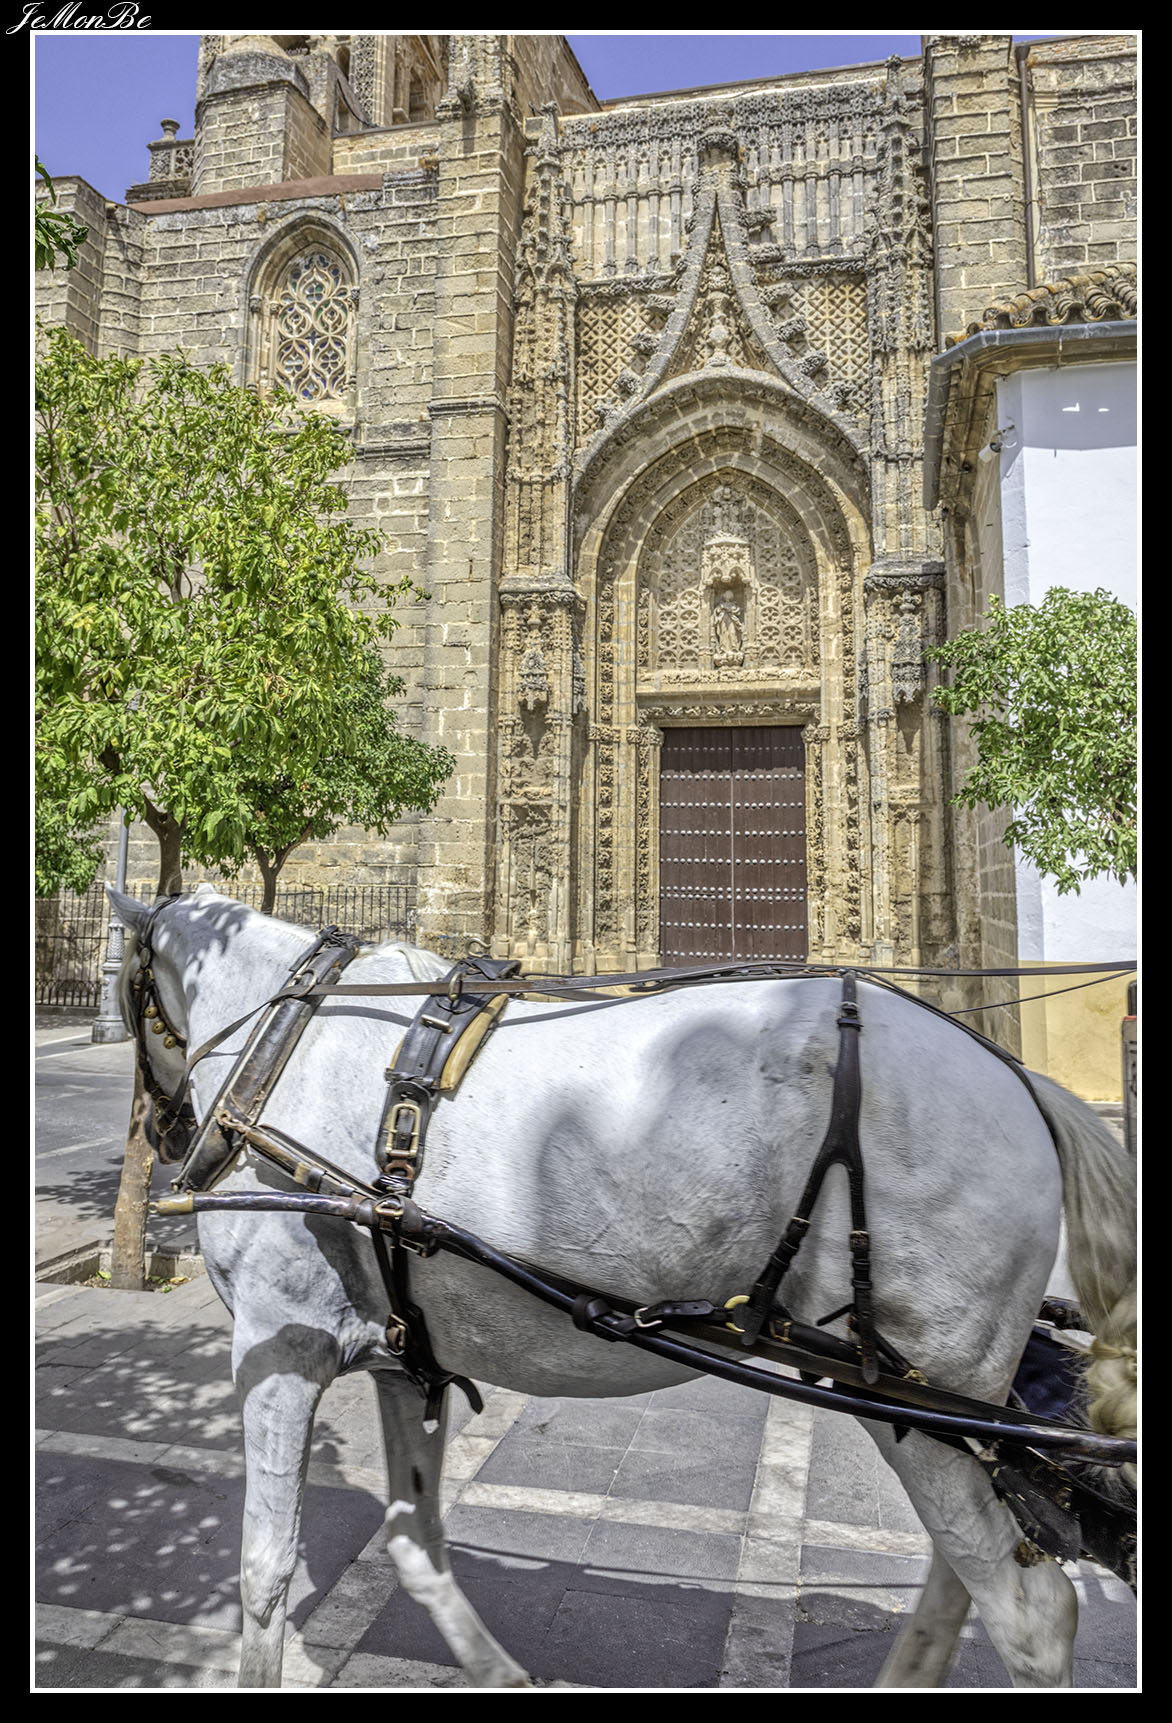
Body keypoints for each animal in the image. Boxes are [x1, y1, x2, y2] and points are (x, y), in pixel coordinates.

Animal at [110, 884, 1136, 1689]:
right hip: (936, 1410)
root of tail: (1022, 1081)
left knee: (1029, 1609)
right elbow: (412, 1540)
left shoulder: (280, 1344)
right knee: (971, 1570)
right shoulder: (407, 1355)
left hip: (924, 1383)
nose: (165, 1133)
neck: (285, 1033)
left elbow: (263, 1572)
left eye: (133, 999)